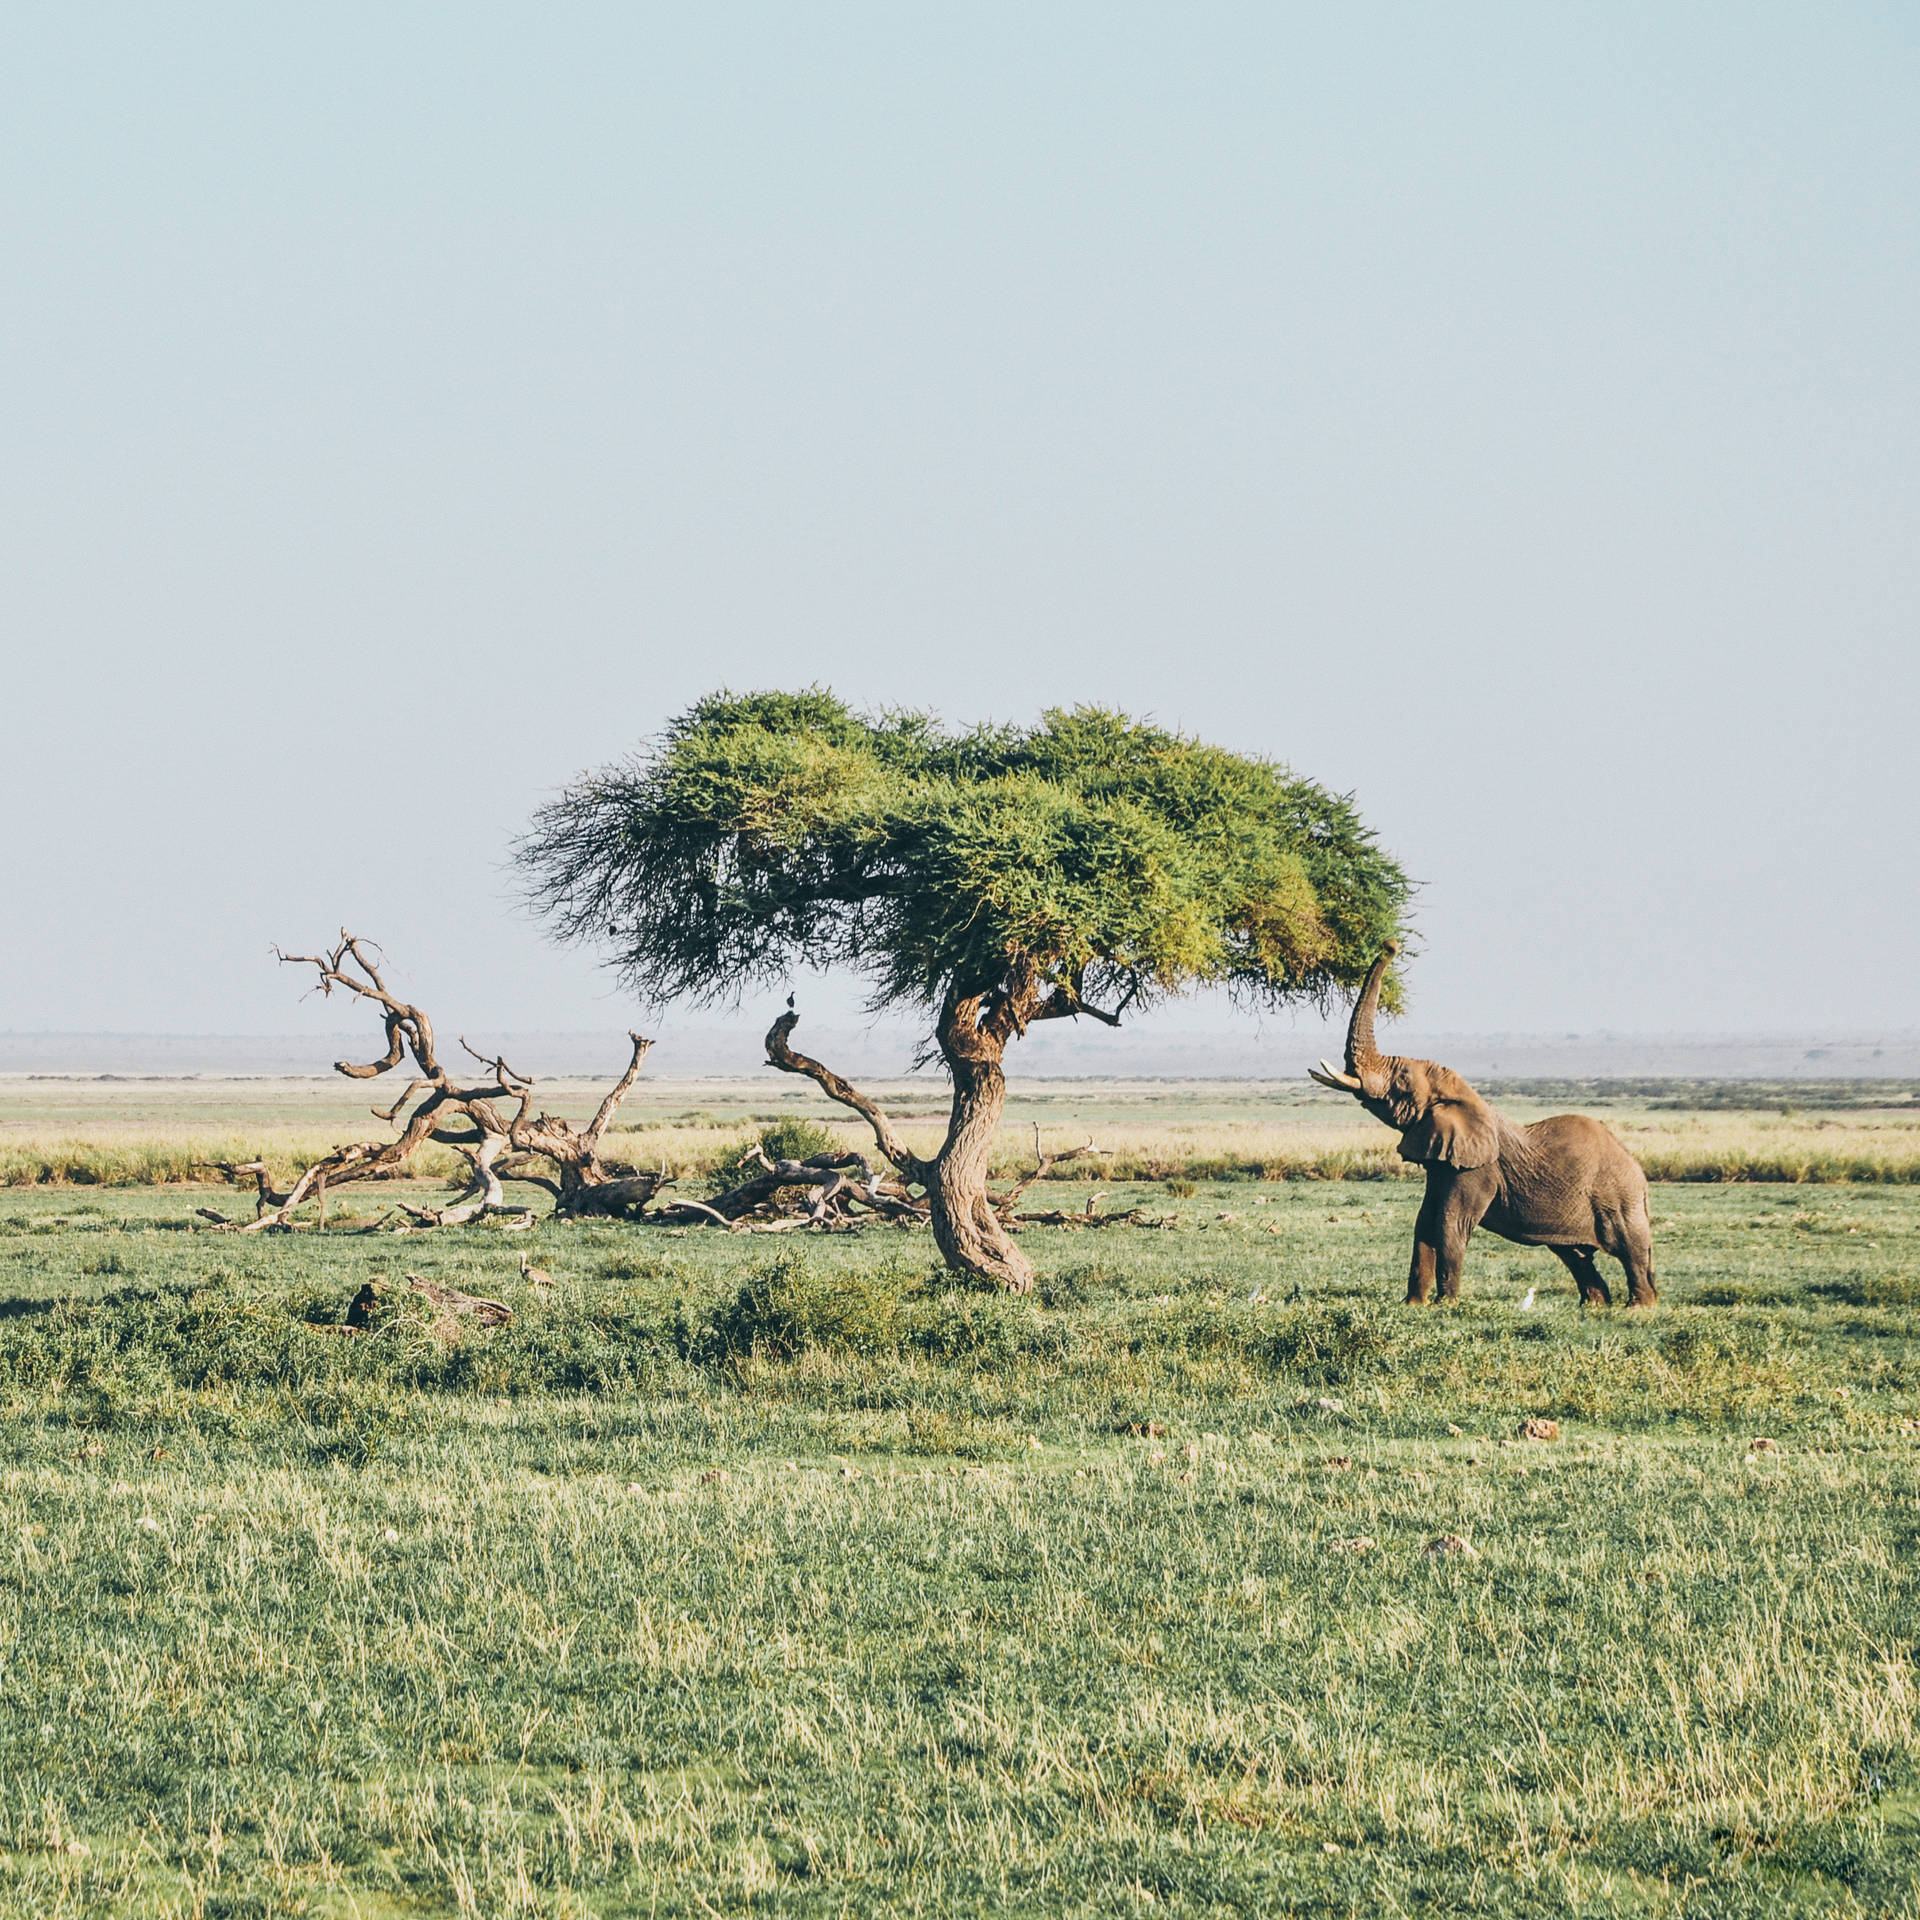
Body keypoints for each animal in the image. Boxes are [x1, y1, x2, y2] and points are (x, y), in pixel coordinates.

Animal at [1313, 944, 1658, 1305]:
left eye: (1402, 1081)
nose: (1390, 945)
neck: (1465, 1097)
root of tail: (1639, 1173)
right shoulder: (1444, 1160)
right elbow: (1425, 1222)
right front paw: (1414, 1305)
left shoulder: (1477, 1169)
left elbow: (1449, 1224)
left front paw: (1446, 1305)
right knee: (1574, 1254)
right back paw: (1594, 1306)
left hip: (1618, 1198)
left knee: (1630, 1249)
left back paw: (1638, 1308)